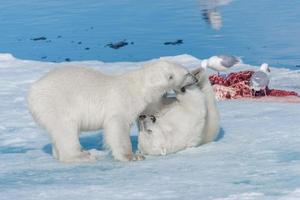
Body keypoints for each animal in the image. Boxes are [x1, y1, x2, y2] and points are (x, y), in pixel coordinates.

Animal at [27, 60, 197, 162]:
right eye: (187, 73)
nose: (195, 79)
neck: (139, 86)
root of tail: (31, 92)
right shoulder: (122, 102)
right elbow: (117, 126)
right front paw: (132, 156)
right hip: (56, 103)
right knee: (66, 129)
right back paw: (81, 155)